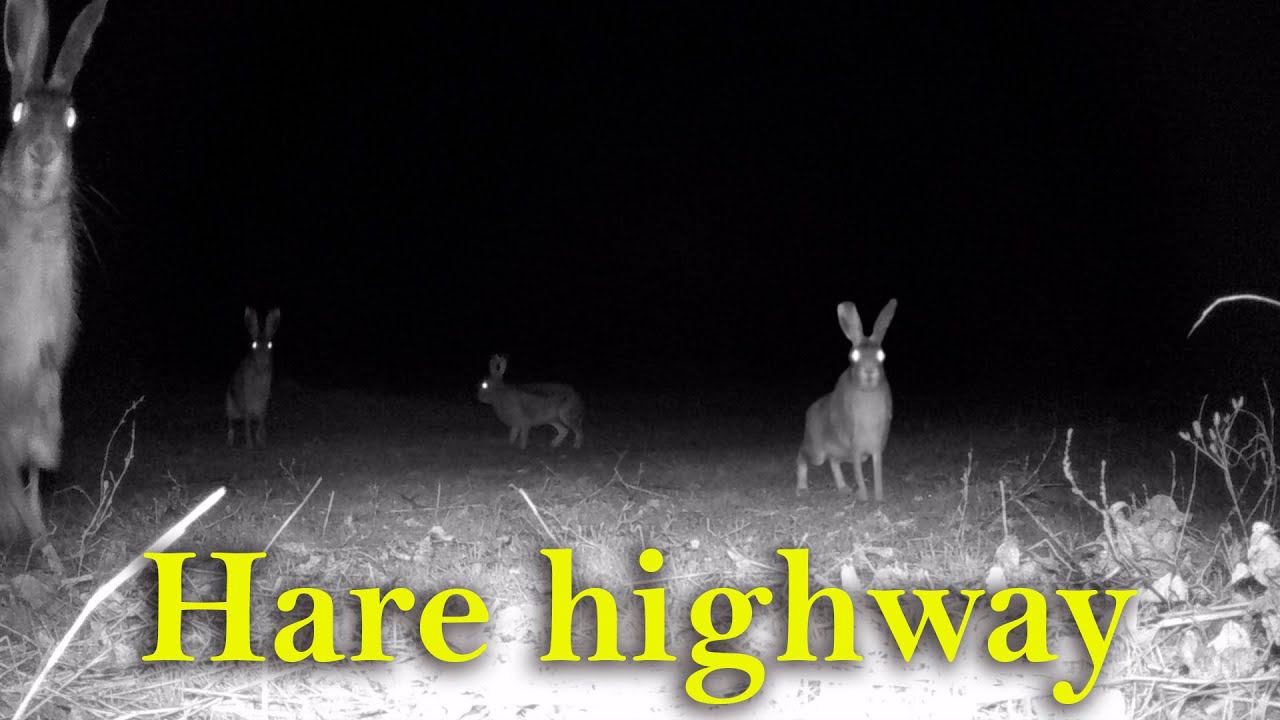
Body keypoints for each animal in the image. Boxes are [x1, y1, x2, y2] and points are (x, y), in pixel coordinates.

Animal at [226, 307, 280, 448]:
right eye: (254, 345)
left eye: (270, 345)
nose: (263, 361)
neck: (259, 370)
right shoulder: (246, 403)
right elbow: (247, 424)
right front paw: (250, 445)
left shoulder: (263, 405)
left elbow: (260, 422)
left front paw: (261, 442)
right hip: (230, 406)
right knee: (232, 424)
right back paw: (230, 441)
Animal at [796, 299, 897, 501]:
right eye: (854, 356)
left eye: (881, 356)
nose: (869, 372)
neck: (867, 391)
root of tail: (809, 411)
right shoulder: (855, 446)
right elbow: (858, 472)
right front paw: (864, 497)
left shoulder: (876, 447)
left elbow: (877, 471)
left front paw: (879, 497)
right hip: (817, 451)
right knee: (802, 455)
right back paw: (802, 489)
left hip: (838, 452)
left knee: (834, 462)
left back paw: (843, 489)